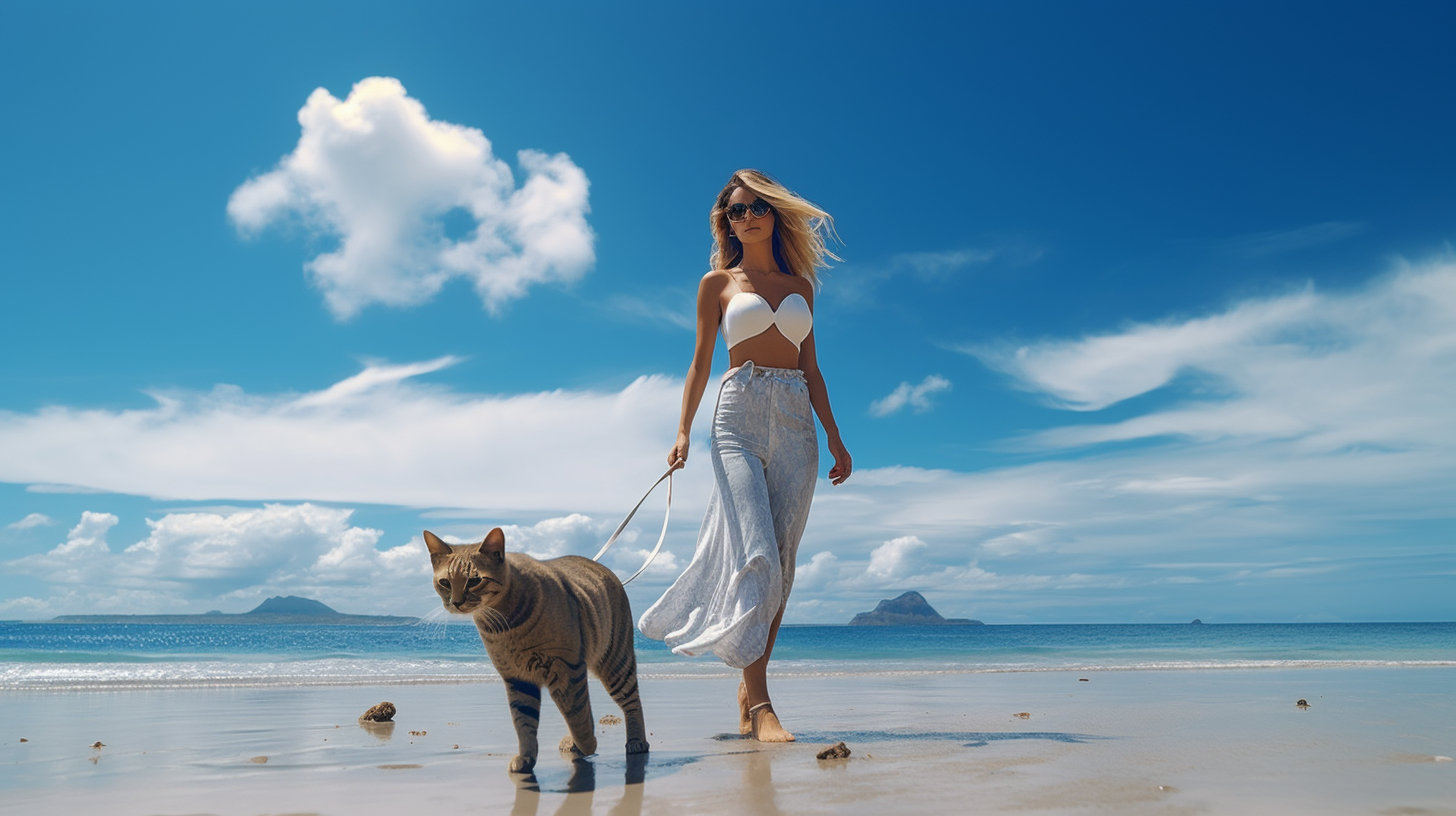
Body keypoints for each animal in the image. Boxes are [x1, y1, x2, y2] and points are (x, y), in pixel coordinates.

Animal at [422, 530, 649, 769]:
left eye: (474, 580)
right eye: (445, 582)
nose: (456, 602)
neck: (505, 625)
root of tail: (603, 568)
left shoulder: (567, 667)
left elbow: (577, 715)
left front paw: (587, 744)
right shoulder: (518, 678)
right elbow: (524, 723)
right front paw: (527, 756)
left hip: (616, 663)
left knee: (632, 702)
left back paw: (636, 741)